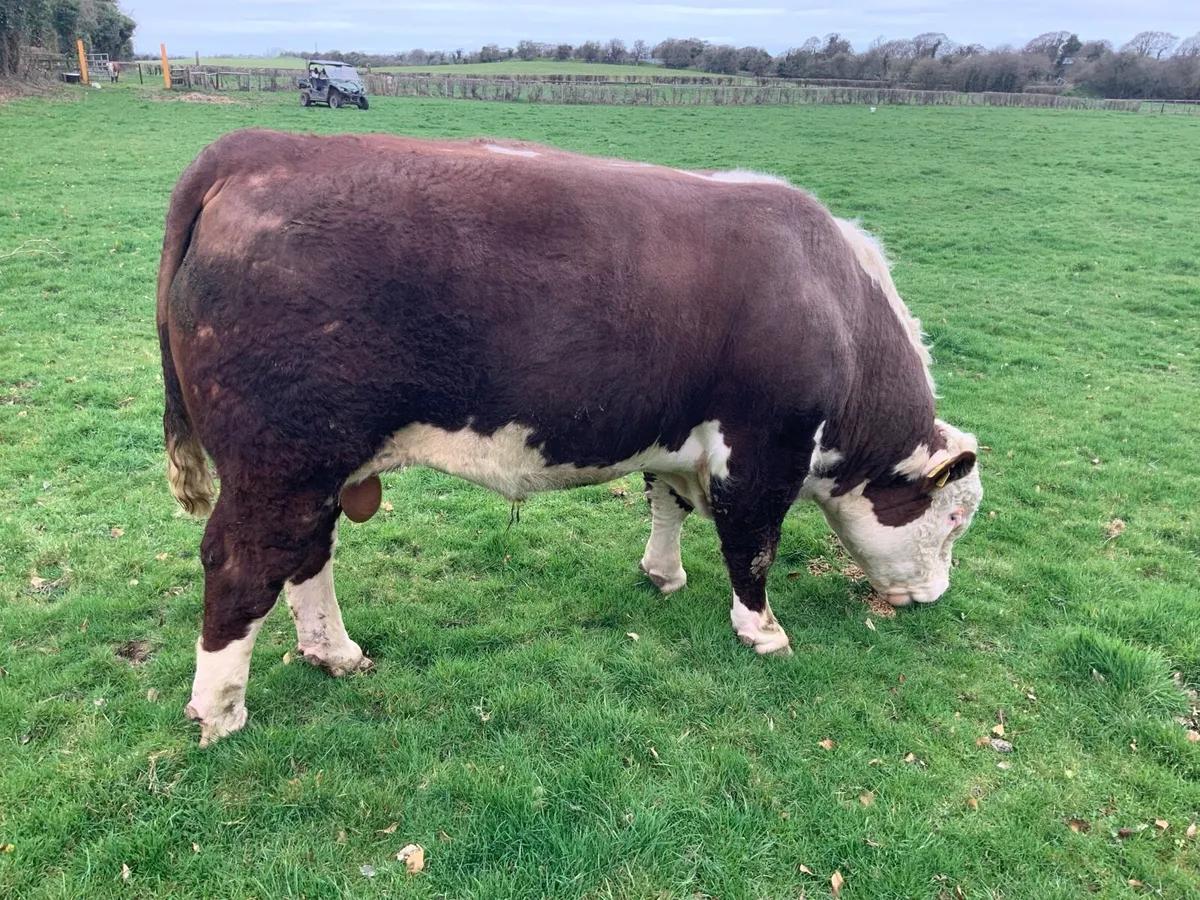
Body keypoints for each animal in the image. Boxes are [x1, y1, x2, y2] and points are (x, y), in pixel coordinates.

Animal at [157, 129, 982, 745]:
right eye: (954, 518)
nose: (935, 596)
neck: (835, 303)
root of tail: (253, 149)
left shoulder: (676, 435)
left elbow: (666, 504)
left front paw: (662, 573)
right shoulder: (763, 450)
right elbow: (752, 545)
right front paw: (763, 630)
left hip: (318, 466)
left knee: (307, 556)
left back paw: (334, 652)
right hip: (279, 463)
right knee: (242, 565)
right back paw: (221, 712)